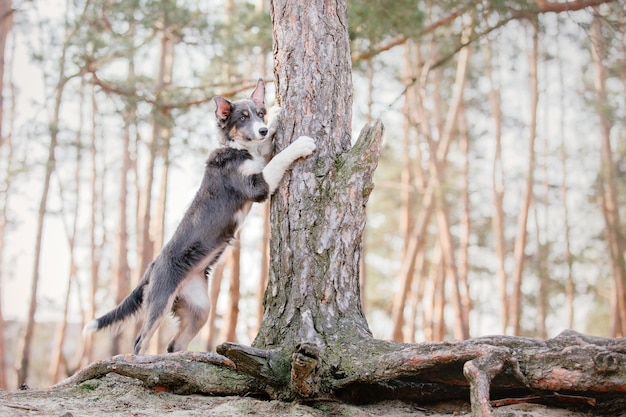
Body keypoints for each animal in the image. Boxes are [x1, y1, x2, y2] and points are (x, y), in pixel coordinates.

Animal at [83, 79, 314, 354]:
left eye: (260, 114)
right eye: (242, 117)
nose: (262, 129)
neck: (237, 148)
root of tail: (152, 266)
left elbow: (269, 148)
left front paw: (277, 113)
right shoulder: (256, 185)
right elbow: (279, 157)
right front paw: (301, 144)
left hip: (199, 307)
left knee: (174, 344)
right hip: (160, 301)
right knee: (140, 341)